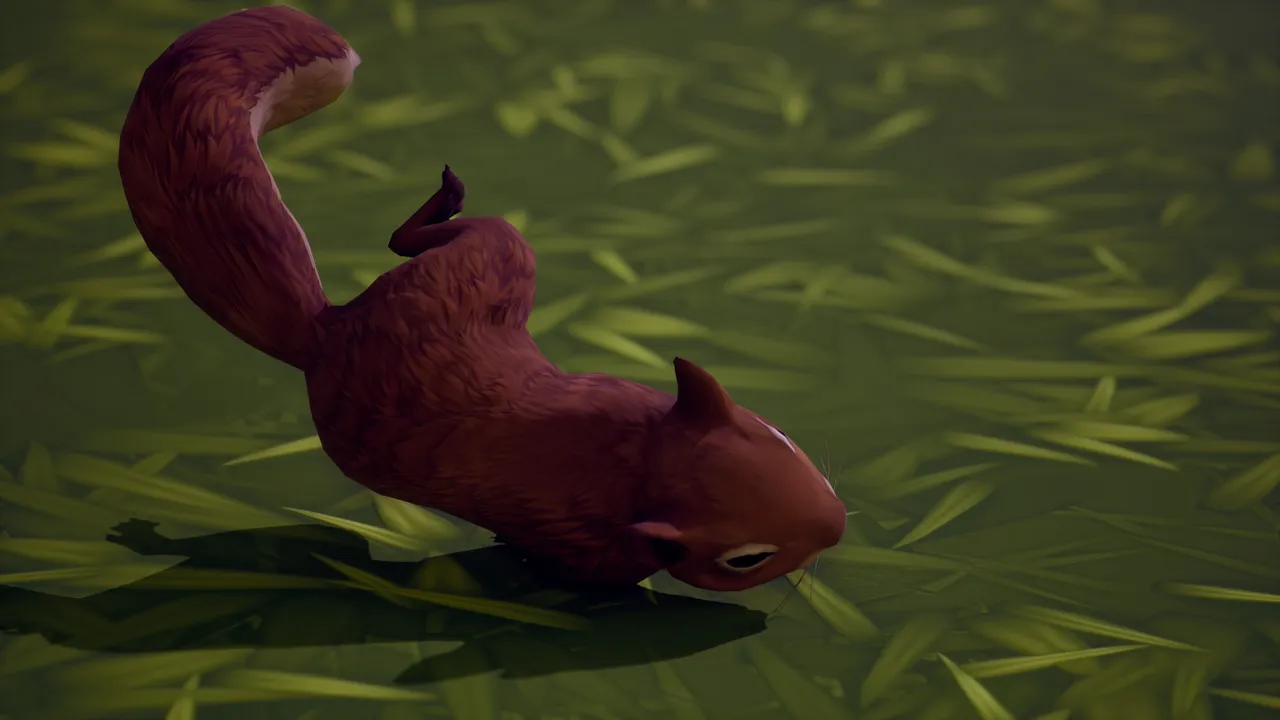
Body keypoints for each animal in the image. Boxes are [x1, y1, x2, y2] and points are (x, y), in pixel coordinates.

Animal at [116, 5, 846, 592]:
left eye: (778, 437)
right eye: (747, 559)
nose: (838, 525)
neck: (640, 457)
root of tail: (329, 329)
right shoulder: (580, 535)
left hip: (493, 262)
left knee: (430, 239)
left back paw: (446, 196)